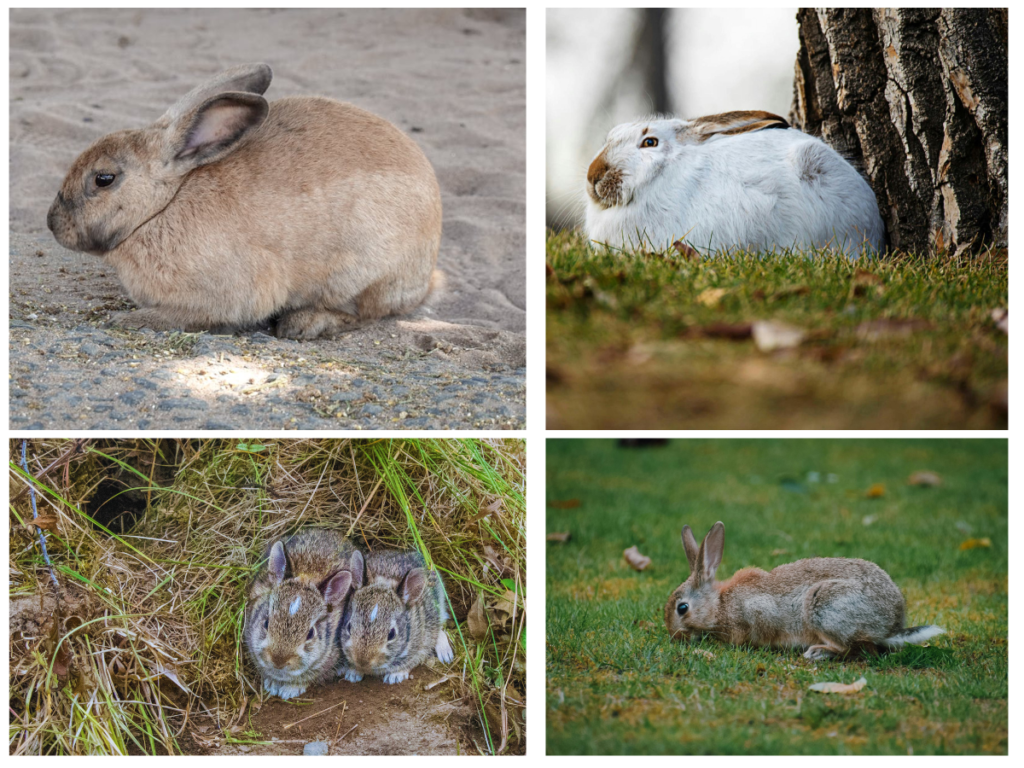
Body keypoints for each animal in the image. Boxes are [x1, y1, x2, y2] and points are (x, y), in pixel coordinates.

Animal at [46, 64, 442, 342]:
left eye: (104, 179)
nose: (52, 223)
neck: (163, 206)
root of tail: (428, 272)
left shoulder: (224, 296)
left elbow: (183, 317)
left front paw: (124, 320)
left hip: (362, 273)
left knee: (368, 313)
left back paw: (304, 324)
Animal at [337, 548, 454, 684]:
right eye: (349, 627)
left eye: (391, 634)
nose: (362, 661)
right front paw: (353, 673)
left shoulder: (421, 644)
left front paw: (395, 676)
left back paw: (445, 654)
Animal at [663, 524, 942, 663]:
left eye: (682, 608)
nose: (674, 636)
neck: (719, 604)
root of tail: (892, 625)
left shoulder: (757, 612)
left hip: (824, 608)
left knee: (861, 650)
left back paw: (819, 653)